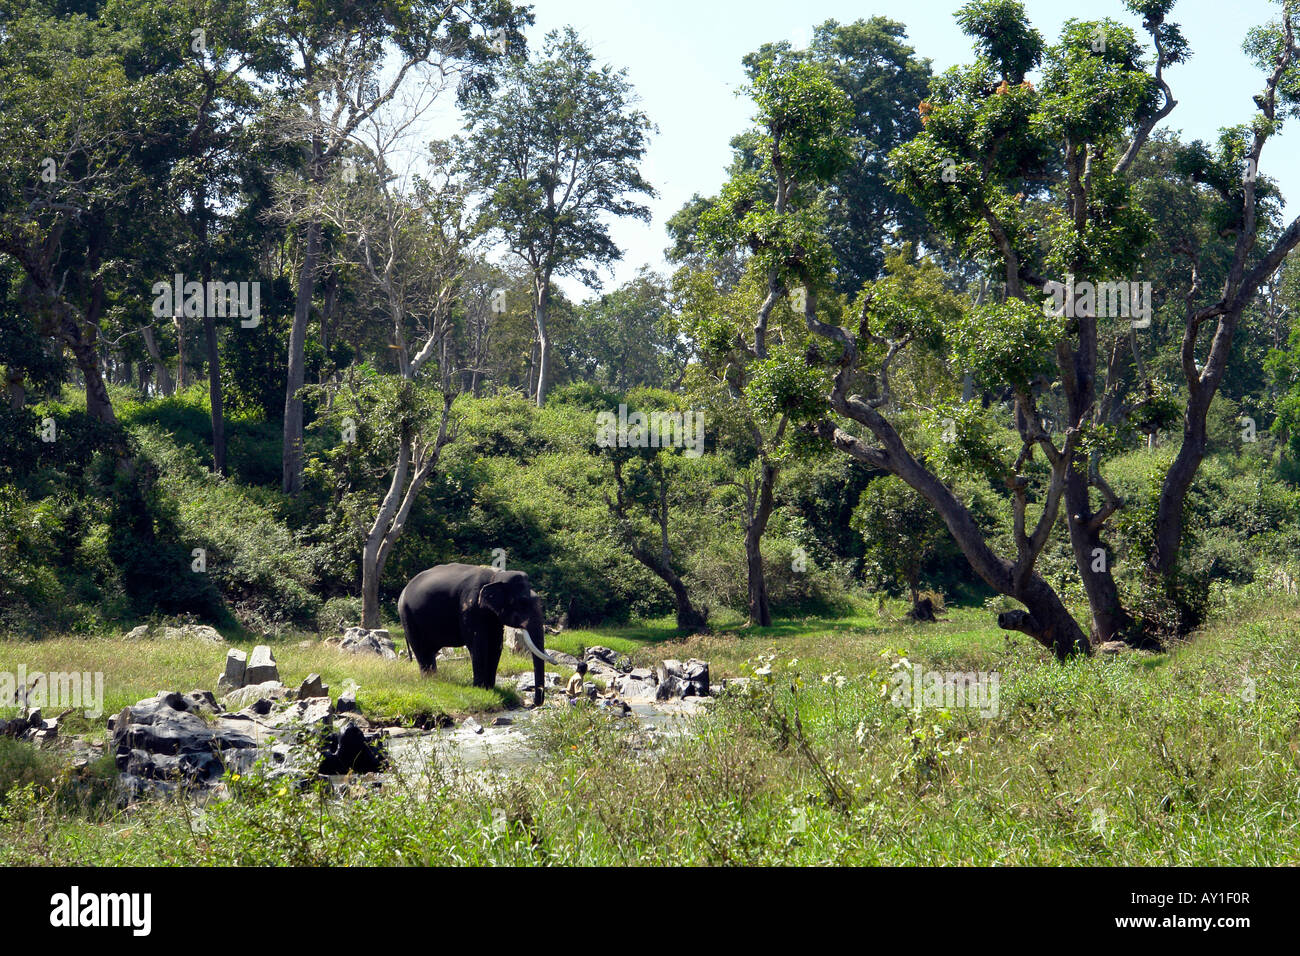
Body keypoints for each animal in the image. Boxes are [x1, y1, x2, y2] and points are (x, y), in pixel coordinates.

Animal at [395, 564, 559, 707]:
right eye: (523, 602)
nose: (533, 703)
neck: (496, 576)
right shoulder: (470, 606)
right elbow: (478, 644)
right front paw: (480, 688)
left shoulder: (492, 615)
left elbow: (495, 644)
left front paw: (490, 688)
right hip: (407, 616)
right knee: (422, 650)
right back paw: (431, 680)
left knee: (429, 652)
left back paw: (435, 679)